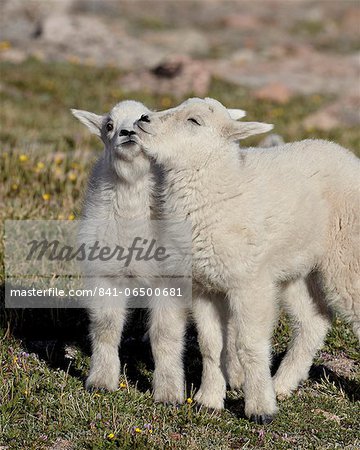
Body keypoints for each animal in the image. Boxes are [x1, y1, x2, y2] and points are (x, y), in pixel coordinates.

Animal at [135, 97, 360, 422]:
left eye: (194, 121)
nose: (143, 119)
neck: (224, 189)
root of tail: (347, 155)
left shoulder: (250, 283)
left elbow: (250, 344)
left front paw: (260, 409)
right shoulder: (206, 285)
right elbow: (211, 345)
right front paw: (209, 401)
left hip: (347, 257)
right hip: (295, 267)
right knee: (313, 321)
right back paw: (282, 384)